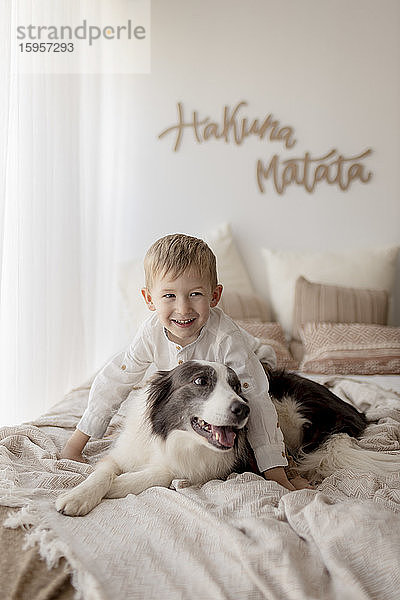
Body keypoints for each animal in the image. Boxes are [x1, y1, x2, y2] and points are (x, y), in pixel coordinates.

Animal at [57, 360, 400, 516]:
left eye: (237, 387)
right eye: (200, 381)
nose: (243, 408)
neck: (174, 437)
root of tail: (355, 413)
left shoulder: (204, 466)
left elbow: (158, 474)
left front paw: (118, 487)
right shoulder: (125, 451)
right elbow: (103, 471)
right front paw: (78, 496)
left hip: (287, 408)